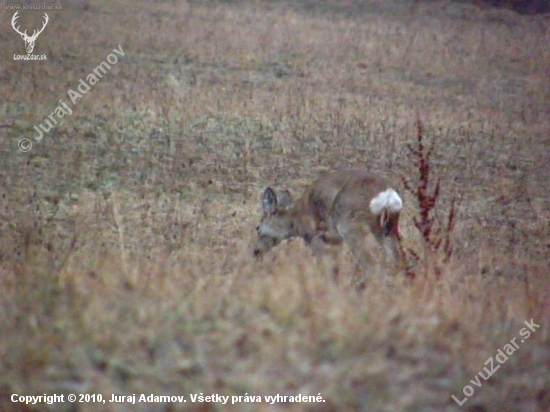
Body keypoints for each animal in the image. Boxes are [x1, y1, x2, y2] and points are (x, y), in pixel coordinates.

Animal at [256, 169, 406, 276]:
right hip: (388, 228)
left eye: (257, 228)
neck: (296, 219)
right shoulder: (334, 240)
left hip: (350, 226)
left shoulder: (313, 235)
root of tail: (387, 193)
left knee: (371, 264)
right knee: (398, 258)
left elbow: (327, 266)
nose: (256, 251)